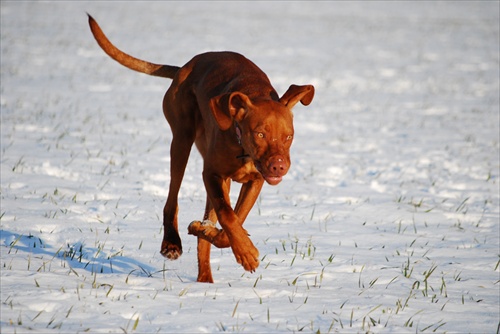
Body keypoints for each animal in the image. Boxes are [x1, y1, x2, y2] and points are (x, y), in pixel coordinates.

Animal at [86, 15, 312, 282]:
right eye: (260, 134)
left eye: (288, 136)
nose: (279, 166)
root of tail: (184, 67)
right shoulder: (211, 174)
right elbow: (228, 216)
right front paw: (245, 252)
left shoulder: (254, 180)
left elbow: (233, 221)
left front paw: (221, 238)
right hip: (181, 140)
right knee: (172, 199)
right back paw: (172, 243)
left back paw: (205, 276)